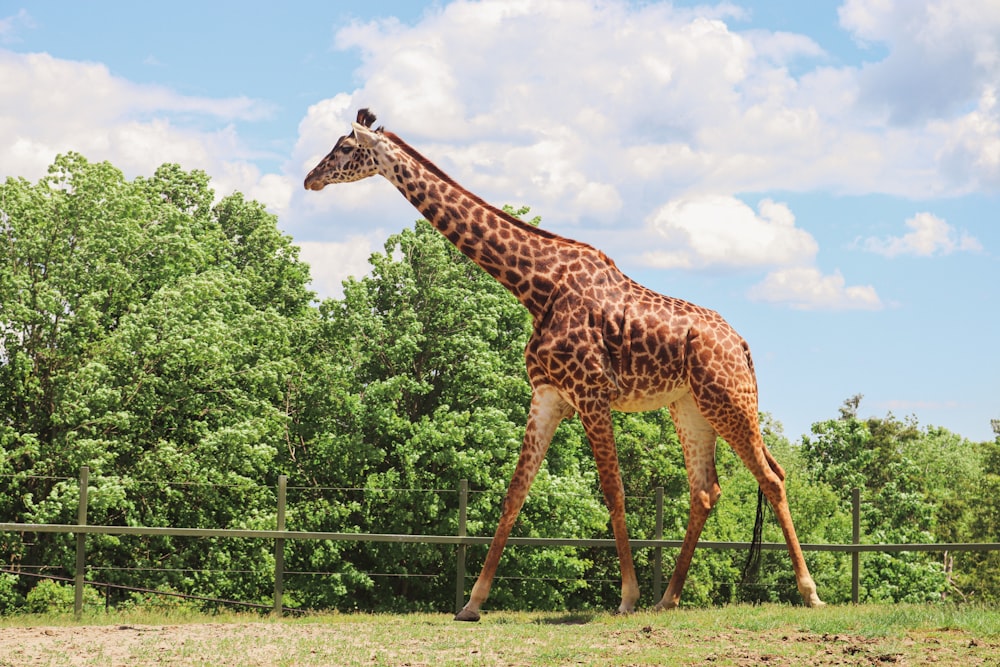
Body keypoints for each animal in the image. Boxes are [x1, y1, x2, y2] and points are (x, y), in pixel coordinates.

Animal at [306, 108, 828, 620]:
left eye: (346, 148)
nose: (311, 178)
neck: (536, 287)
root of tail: (742, 344)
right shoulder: (548, 395)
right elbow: (514, 492)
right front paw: (472, 603)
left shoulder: (591, 394)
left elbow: (613, 491)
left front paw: (626, 597)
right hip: (690, 407)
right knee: (706, 490)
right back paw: (668, 598)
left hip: (729, 401)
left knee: (772, 478)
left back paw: (809, 593)